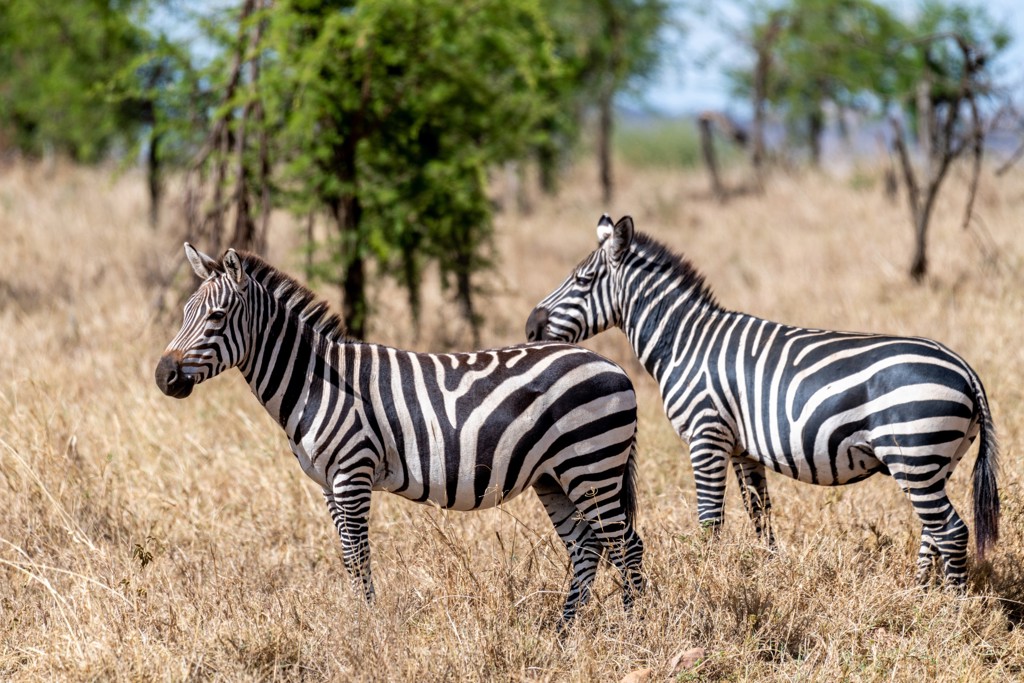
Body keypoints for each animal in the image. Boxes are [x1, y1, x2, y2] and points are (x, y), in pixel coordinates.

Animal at [155, 243, 645, 626]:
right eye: (185, 313)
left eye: (217, 316)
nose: (164, 376)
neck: (316, 382)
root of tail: (613, 365)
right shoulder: (328, 484)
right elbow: (347, 557)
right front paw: (360, 620)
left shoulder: (352, 473)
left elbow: (358, 556)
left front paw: (366, 627)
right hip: (554, 476)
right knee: (587, 547)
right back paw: (563, 633)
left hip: (591, 465)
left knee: (627, 546)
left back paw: (633, 630)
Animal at [525, 214, 999, 587]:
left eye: (583, 281)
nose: (531, 327)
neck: (685, 341)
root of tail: (963, 367)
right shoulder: (742, 449)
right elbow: (760, 517)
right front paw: (767, 571)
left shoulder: (706, 436)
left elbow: (710, 521)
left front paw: (708, 578)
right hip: (934, 462)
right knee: (933, 532)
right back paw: (920, 596)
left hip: (914, 454)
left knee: (952, 532)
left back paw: (952, 608)